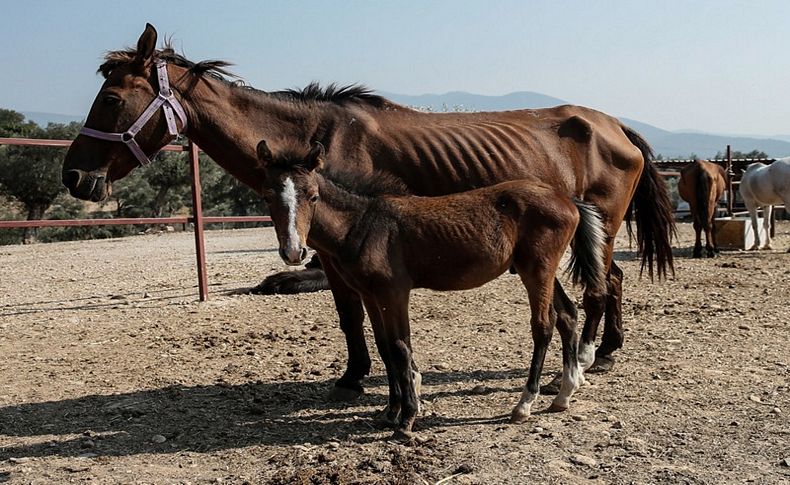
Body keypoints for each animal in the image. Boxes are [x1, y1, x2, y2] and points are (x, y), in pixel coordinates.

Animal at [63, 24, 680, 398]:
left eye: (112, 99)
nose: (73, 176)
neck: (315, 138)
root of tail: (613, 125)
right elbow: (350, 317)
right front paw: (360, 375)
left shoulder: (339, 256)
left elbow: (353, 317)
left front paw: (360, 377)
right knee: (612, 281)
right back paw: (602, 353)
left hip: (597, 227)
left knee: (601, 286)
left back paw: (589, 359)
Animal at [255, 140, 608, 434]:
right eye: (269, 196)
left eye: (313, 196)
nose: (294, 252)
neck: (363, 224)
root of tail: (567, 199)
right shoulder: (371, 295)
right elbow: (385, 348)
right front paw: (389, 411)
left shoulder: (394, 292)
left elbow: (400, 346)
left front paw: (407, 417)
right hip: (537, 270)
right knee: (567, 314)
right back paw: (563, 394)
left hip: (538, 269)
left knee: (543, 324)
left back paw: (524, 404)